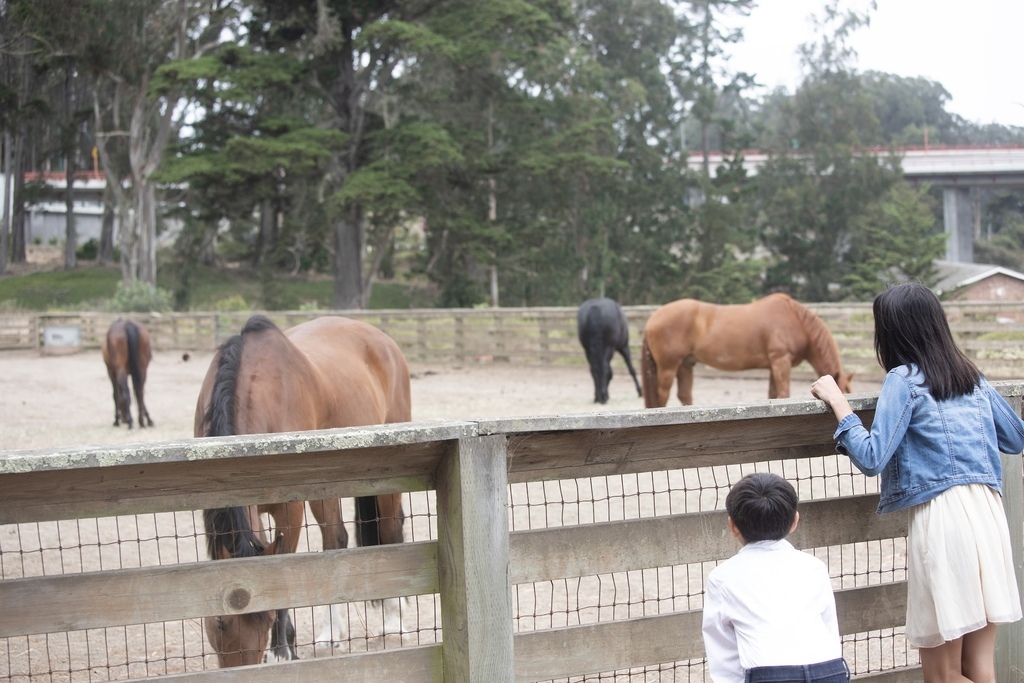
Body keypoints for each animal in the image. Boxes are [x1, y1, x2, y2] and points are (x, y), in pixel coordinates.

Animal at [195, 315, 411, 667]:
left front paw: (282, 651)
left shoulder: (290, 509)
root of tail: (379, 337)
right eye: (220, 622)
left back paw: (394, 622)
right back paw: (331, 634)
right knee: (336, 541)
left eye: (267, 618)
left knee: (390, 534)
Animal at [638, 292, 856, 405]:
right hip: (668, 366)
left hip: (685, 364)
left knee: (684, 395)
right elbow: (784, 394)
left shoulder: (773, 366)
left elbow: (773, 395)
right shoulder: (780, 362)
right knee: (662, 396)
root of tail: (652, 319)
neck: (795, 320)